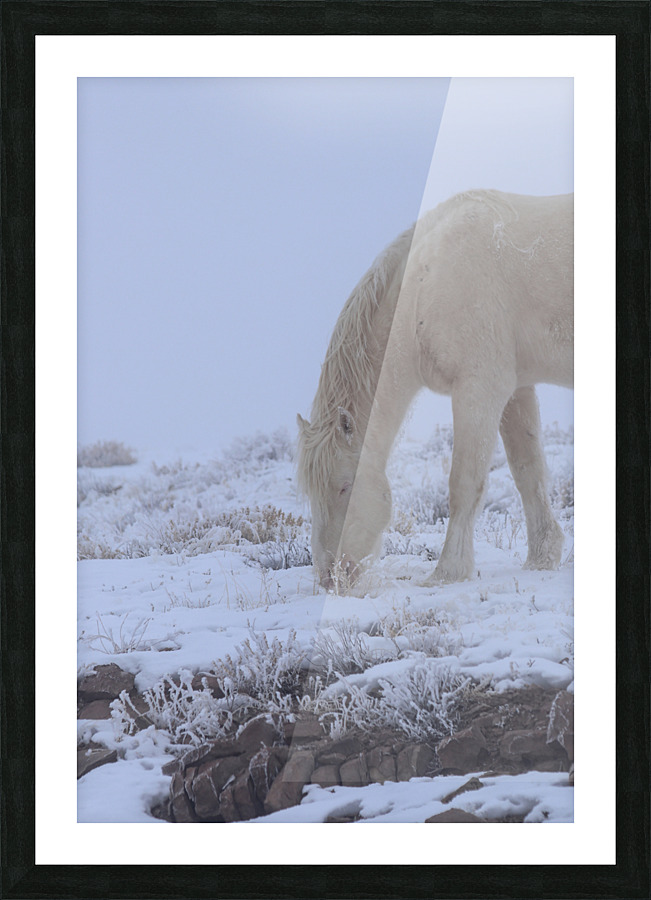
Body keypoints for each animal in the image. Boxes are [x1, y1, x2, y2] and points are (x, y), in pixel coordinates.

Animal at [297, 189, 573, 590]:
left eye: (345, 486)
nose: (329, 577)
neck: (425, 287)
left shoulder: (480, 389)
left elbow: (464, 483)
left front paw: (448, 571)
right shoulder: (515, 391)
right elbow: (528, 473)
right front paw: (542, 558)